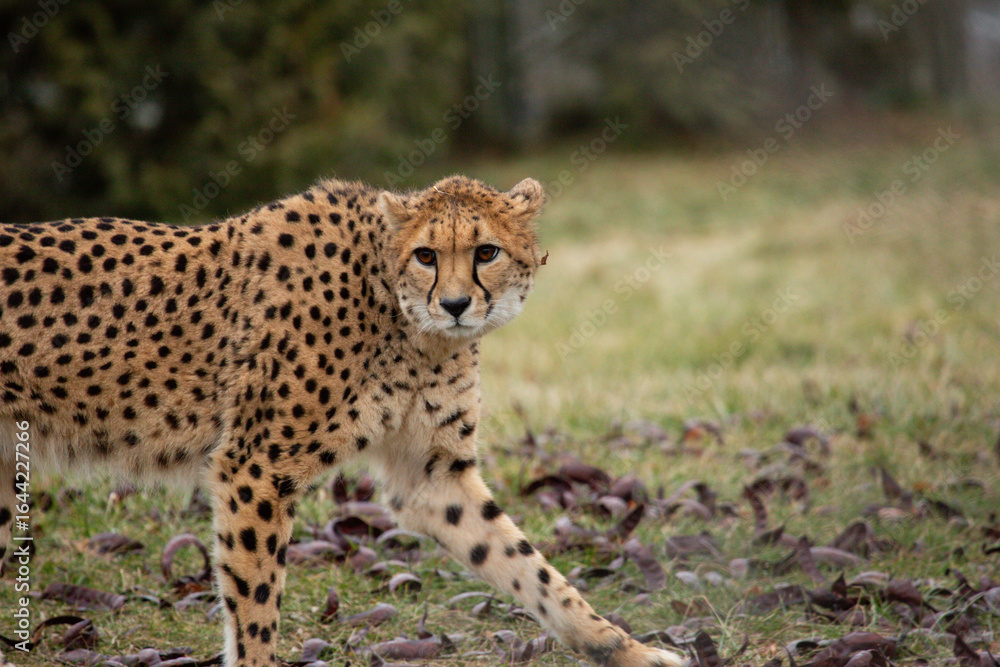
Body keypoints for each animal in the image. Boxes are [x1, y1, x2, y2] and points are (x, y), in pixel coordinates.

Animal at [0, 175, 685, 667]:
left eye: (486, 251)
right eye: (427, 255)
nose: (456, 304)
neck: (404, 319)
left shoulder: (432, 475)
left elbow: (526, 565)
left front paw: (623, 648)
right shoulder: (255, 467)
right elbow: (255, 605)